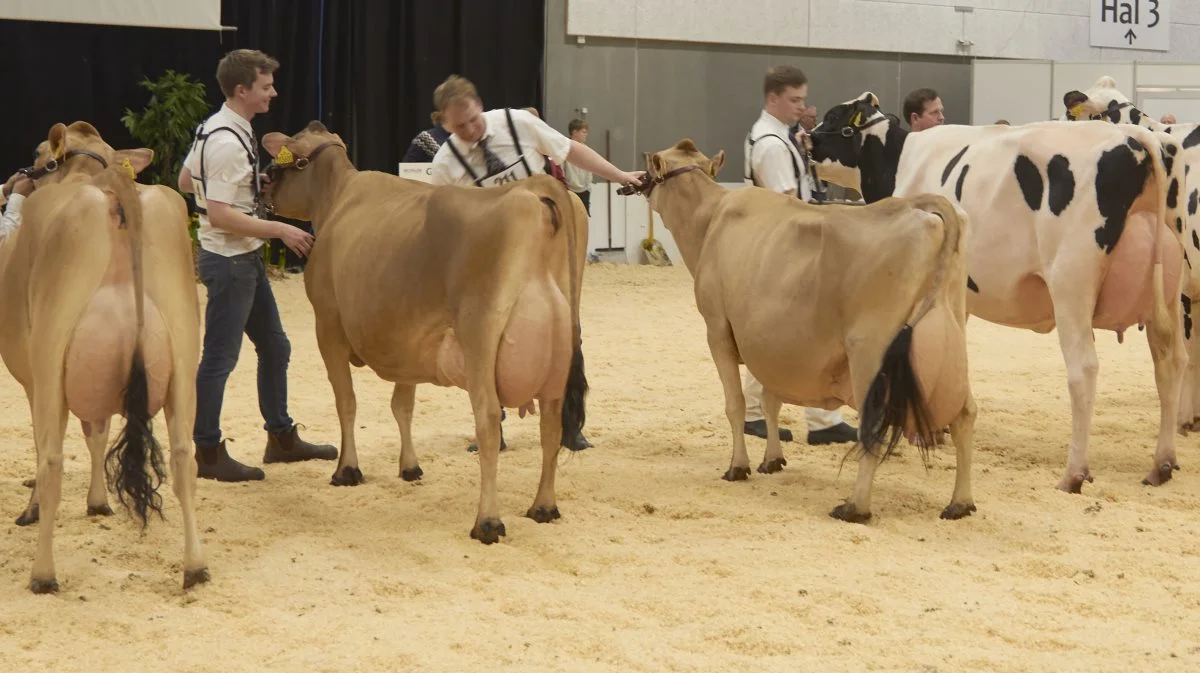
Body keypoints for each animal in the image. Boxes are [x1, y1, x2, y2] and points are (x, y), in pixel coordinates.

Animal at [806, 92, 1190, 494]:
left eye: (832, 117)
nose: (806, 139)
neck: (899, 162)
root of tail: (1136, 137)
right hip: (1169, 291)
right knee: (1171, 362)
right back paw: (1162, 463)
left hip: (1071, 280)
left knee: (1084, 368)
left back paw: (1073, 473)